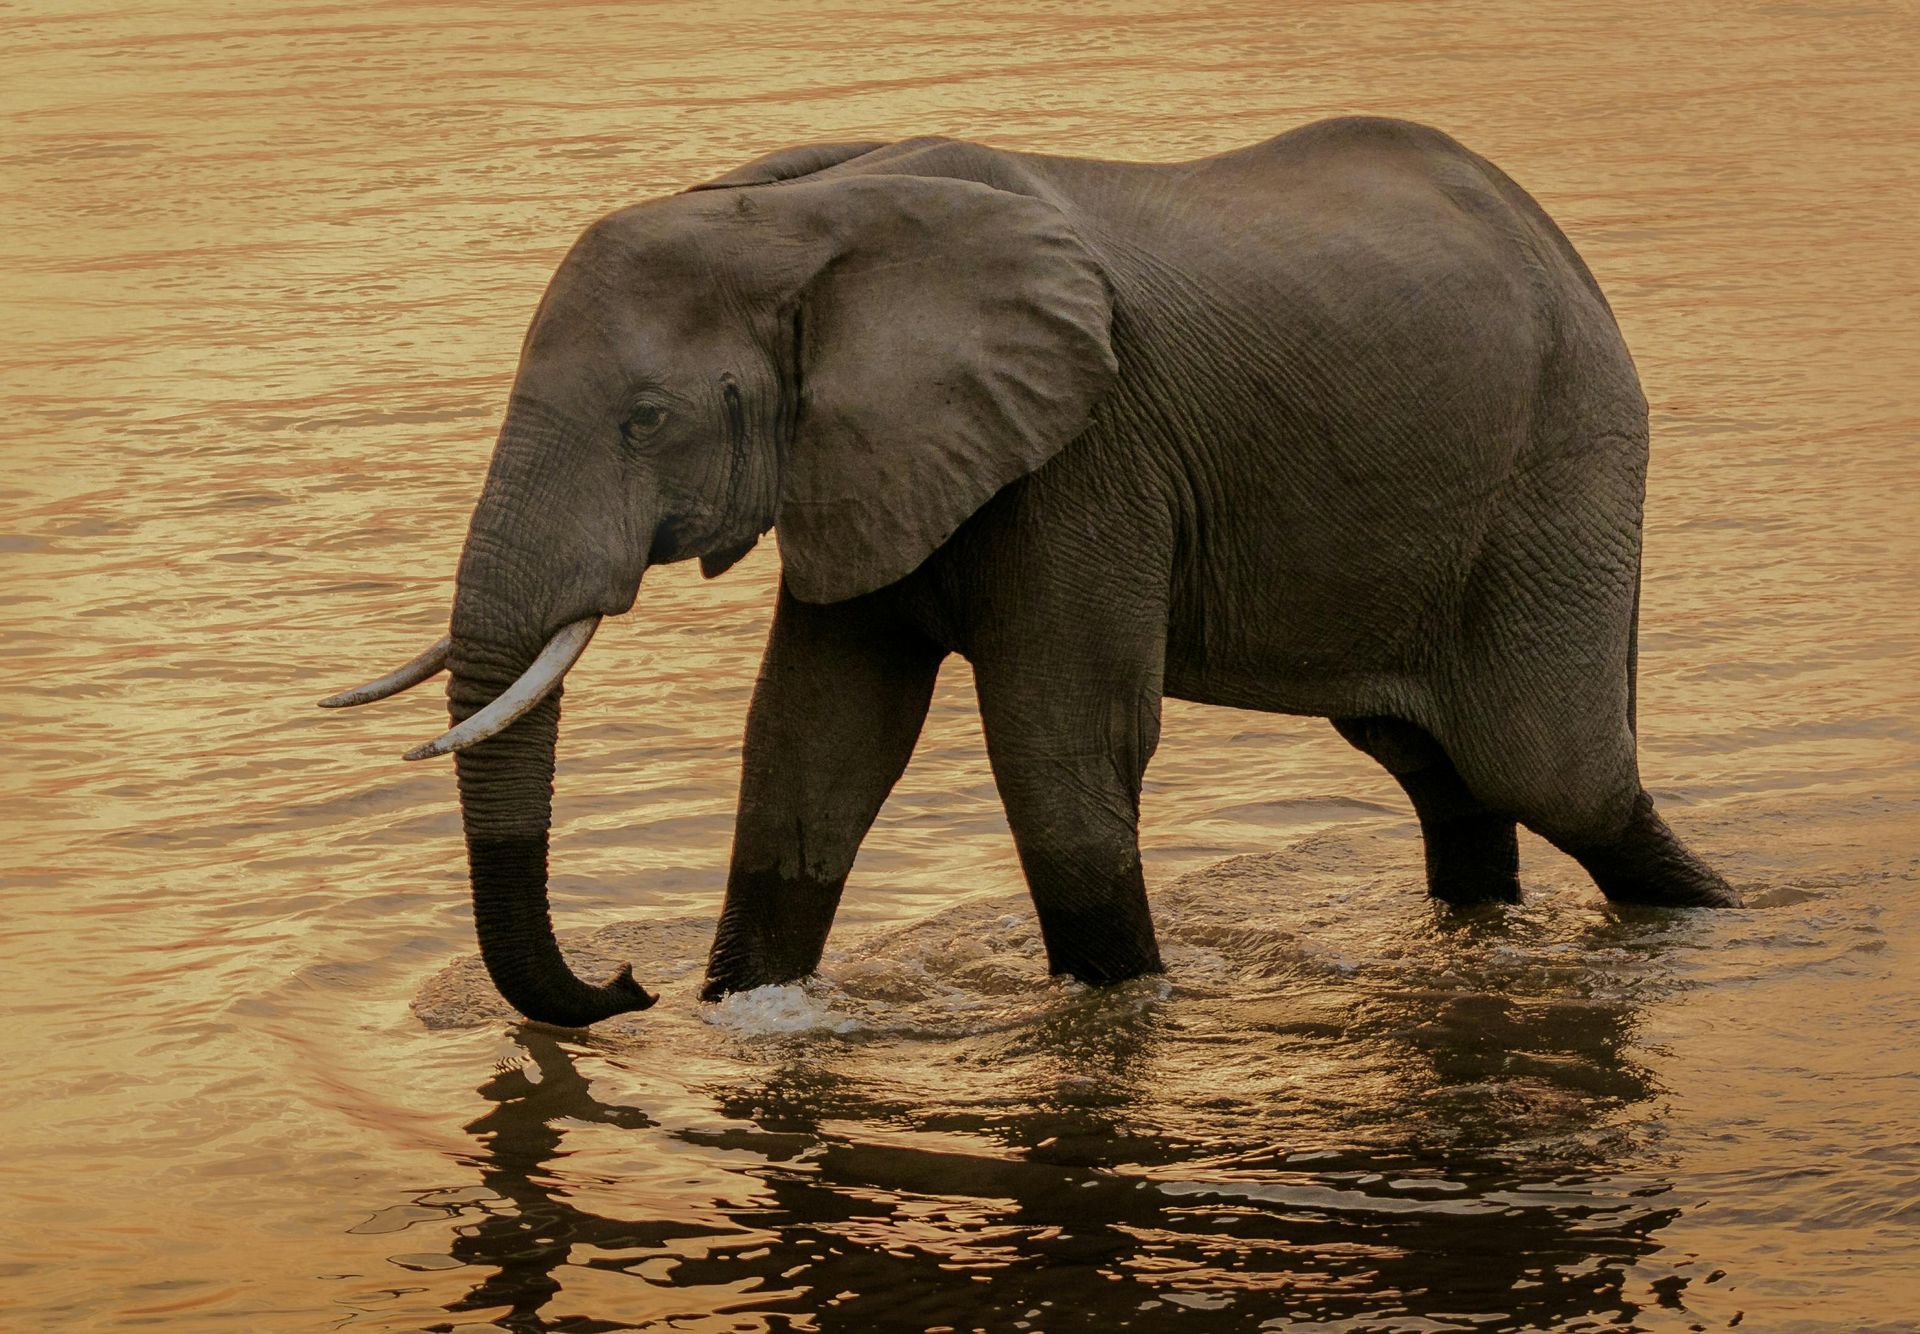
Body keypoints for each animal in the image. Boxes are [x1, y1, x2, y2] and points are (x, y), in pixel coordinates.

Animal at [321, 117, 1737, 1029]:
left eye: (644, 420)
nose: (626, 982)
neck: (797, 214)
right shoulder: (869, 459)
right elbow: (810, 744)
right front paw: (744, 1006)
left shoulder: (1088, 453)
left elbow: (1059, 742)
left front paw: (1117, 1001)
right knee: (1442, 771)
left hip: (1564, 465)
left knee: (1551, 769)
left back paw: (1706, 920)